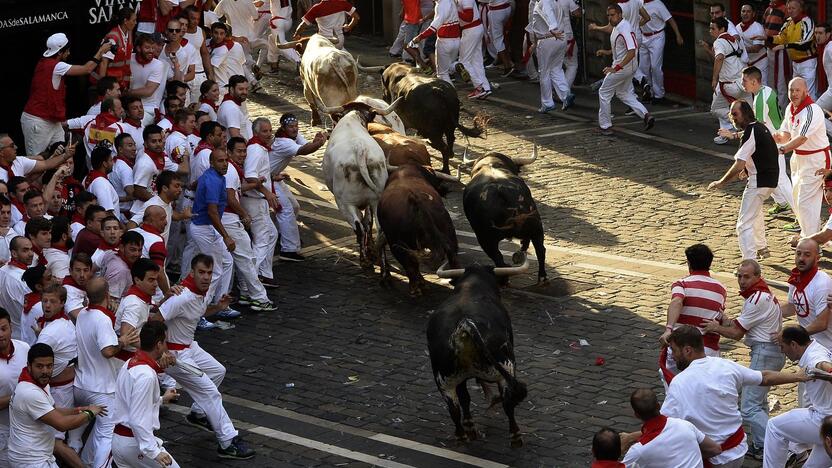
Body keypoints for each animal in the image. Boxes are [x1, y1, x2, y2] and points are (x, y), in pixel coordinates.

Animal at [322, 98, 404, 266]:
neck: (352, 119)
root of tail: (360, 150)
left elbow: (363, 224)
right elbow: (368, 221)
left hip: (344, 204)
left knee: (358, 227)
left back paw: (364, 260)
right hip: (375, 201)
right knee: (379, 229)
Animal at [378, 165, 462, 294]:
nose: (445, 189)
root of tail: (415, 201)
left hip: (394, 241)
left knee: (410, 264)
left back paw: (415, 286)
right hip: (447, 229)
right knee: (453, 255)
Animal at [426, 258, 528, 448]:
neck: (472, 286)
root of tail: (465, 324)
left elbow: (464, 398)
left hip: (444, 381)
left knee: (454, 408)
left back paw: (464, 435)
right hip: (505, 368)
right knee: (508, 402)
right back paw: (515, 437)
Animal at [462, 144, 544, 282]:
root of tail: (501, 190)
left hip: (485, 238)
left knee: (498, 258)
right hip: (535, 225)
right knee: (539, 249)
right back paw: (541, 277)